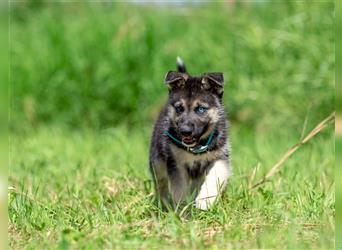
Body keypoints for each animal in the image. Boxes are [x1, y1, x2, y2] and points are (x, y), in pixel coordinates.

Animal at [149, 57, 231, 210]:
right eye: (179, 108)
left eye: (200, 109)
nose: (185, 131)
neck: (196, 148)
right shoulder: (176, 164)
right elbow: (179, 190)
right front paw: (182, 209)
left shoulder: (220, 158)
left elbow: (215, 177)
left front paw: (204, 201)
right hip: (157, 162)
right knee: (161, 184)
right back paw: (163, 205)